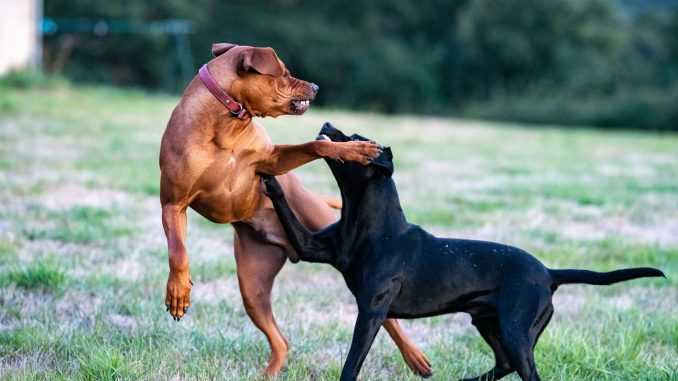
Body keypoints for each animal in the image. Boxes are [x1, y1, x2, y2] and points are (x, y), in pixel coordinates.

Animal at [159, 43, 432, 376]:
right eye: (285, 73)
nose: (315, 86)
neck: (226, 124)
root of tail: (287, 246)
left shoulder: (272, 160)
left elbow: (317, 145)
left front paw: (353, 149)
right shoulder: (173, 205)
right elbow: (178, 251)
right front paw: (178, 291)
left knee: (389, 318)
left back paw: (415, 357)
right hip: (252, 287)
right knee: (281, 340)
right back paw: (269, 373)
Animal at [262, 122, 668, 380]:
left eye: (357, 138)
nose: (328, 121)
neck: (368, 222)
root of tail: (550, 274)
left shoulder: (372, 309)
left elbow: (352, 362)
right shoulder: (311, 247)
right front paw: (268, 177)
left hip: (516, 331)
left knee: (525, 371)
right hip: (490, 324)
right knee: (504, 365)